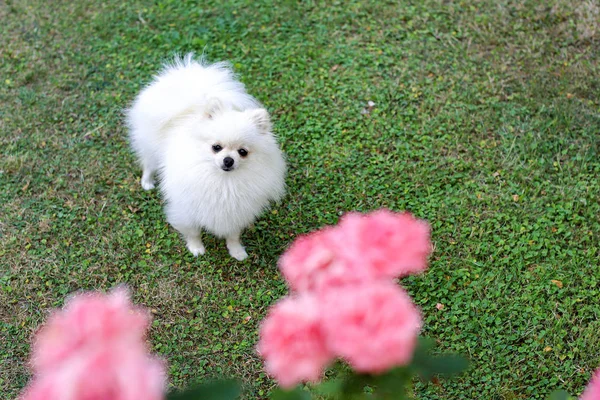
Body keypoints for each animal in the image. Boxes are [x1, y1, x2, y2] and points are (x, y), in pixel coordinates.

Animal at [126, 54, 286, 260]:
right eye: (216, 147)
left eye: (242, 152)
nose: (228, 160)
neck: (224, 182)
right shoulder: (187, 208)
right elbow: (193, 231)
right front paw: (196, 248)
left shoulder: (236, 212)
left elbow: (233, 235)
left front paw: (236, 251)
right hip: (149, 146)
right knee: (148, 163)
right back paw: (147, 182)